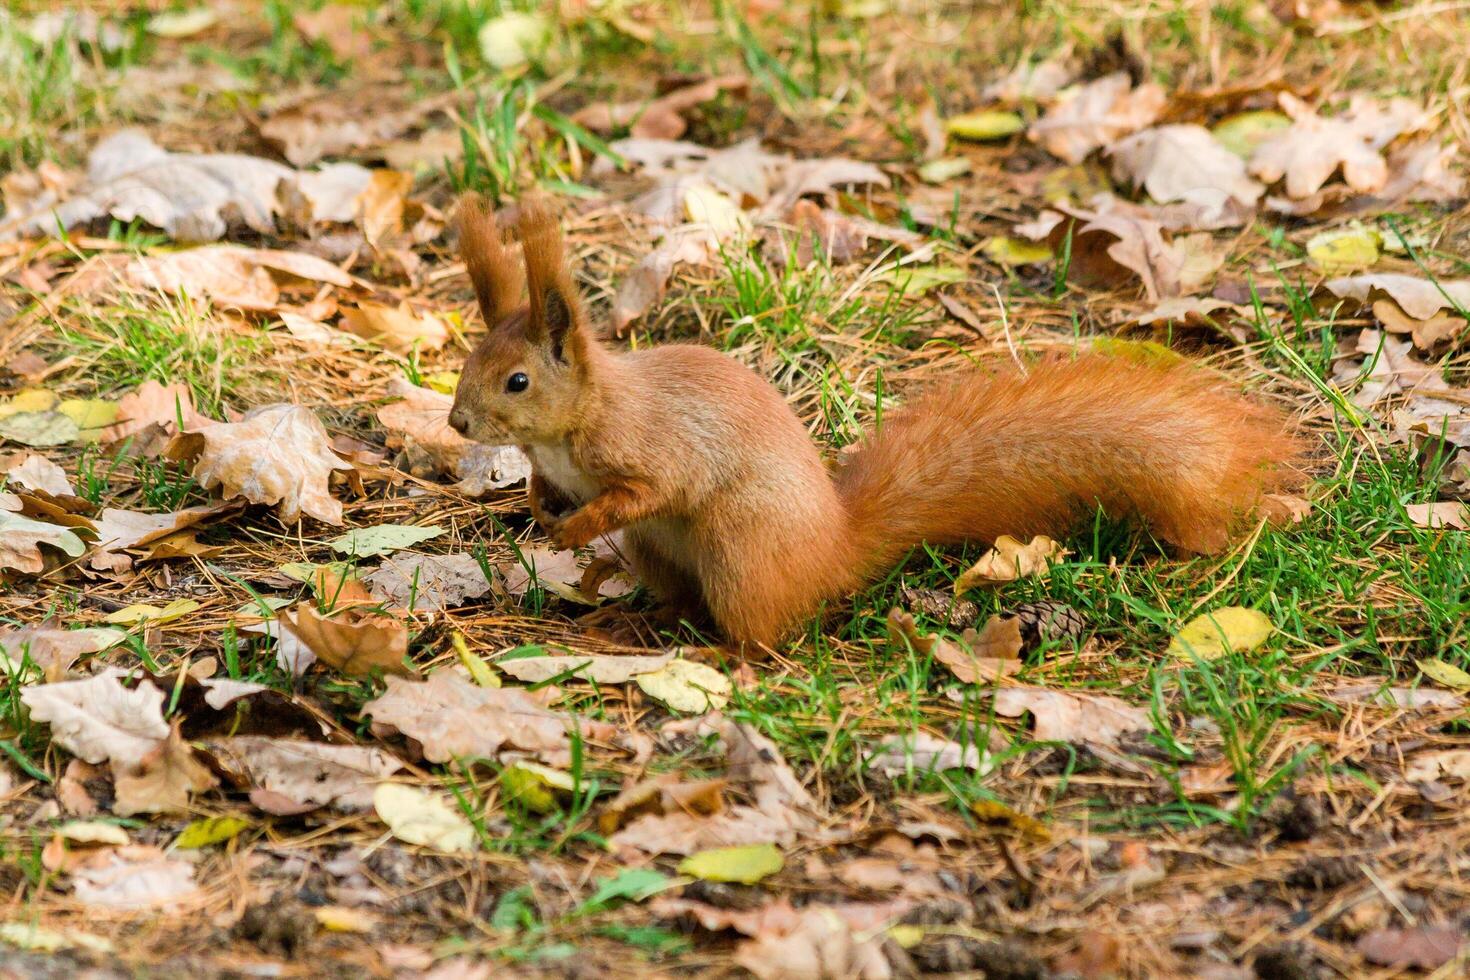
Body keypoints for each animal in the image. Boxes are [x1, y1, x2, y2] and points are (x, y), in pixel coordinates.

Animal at [441, 193, 1305, 646]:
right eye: (471, 360)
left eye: (517, 380)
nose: (456, 424)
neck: (570, 428)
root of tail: (834, 552)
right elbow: (547, 490)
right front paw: (543, 512)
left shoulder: (654, 449)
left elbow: (645, 491)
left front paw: (576, 530)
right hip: (667, 553)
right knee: (683, 598)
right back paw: (631, 611)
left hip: (739, 546)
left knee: (761, 630)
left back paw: (723, 654)